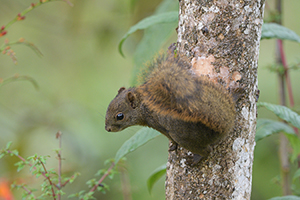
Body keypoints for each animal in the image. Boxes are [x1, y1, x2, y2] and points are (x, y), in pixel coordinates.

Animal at [104, 49, 240, 162]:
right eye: (108, 107)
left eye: (120, 116)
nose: (107, 129)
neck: (144, 105)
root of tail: (225, 125)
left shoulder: (158, 124)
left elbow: (170, 138)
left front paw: (173, 146)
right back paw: (236, 95)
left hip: (186, 138)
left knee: (207, 151)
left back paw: (196, 159)